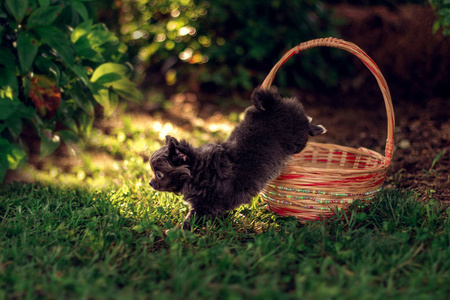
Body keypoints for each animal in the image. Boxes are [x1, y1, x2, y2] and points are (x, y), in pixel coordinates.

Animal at [149, 88, 326, 229]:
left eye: (159, 174)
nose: (150, 183)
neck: (197, 170)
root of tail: (272, 105)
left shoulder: (205, 206)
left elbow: (190, 220)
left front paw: (177, 231)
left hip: (297, 138)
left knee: (305, 122)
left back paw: (318, 128)